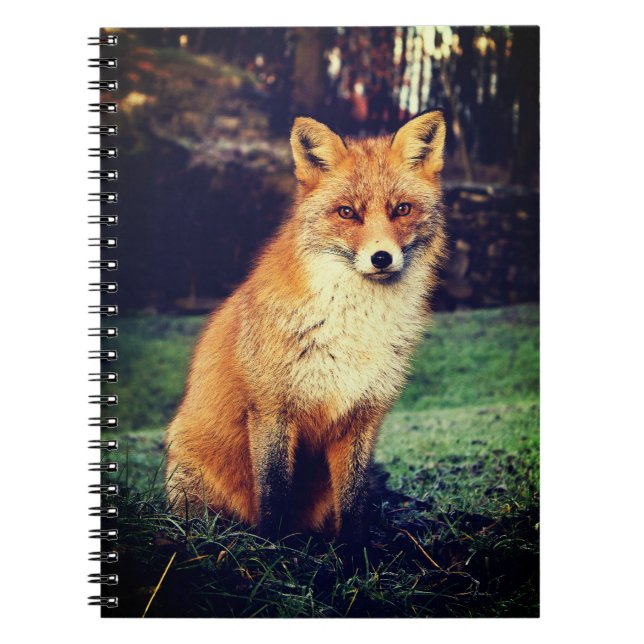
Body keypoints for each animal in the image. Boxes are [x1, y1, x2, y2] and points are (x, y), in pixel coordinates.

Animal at [165, 110, 447, 543]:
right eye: (347, 212)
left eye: (402, 209)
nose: (382, 258)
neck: (354, 327)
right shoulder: (271, 409)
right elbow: (274, 491)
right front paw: (274, 546)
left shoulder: (362, 415)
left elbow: (353, 500)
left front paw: (355, 550)